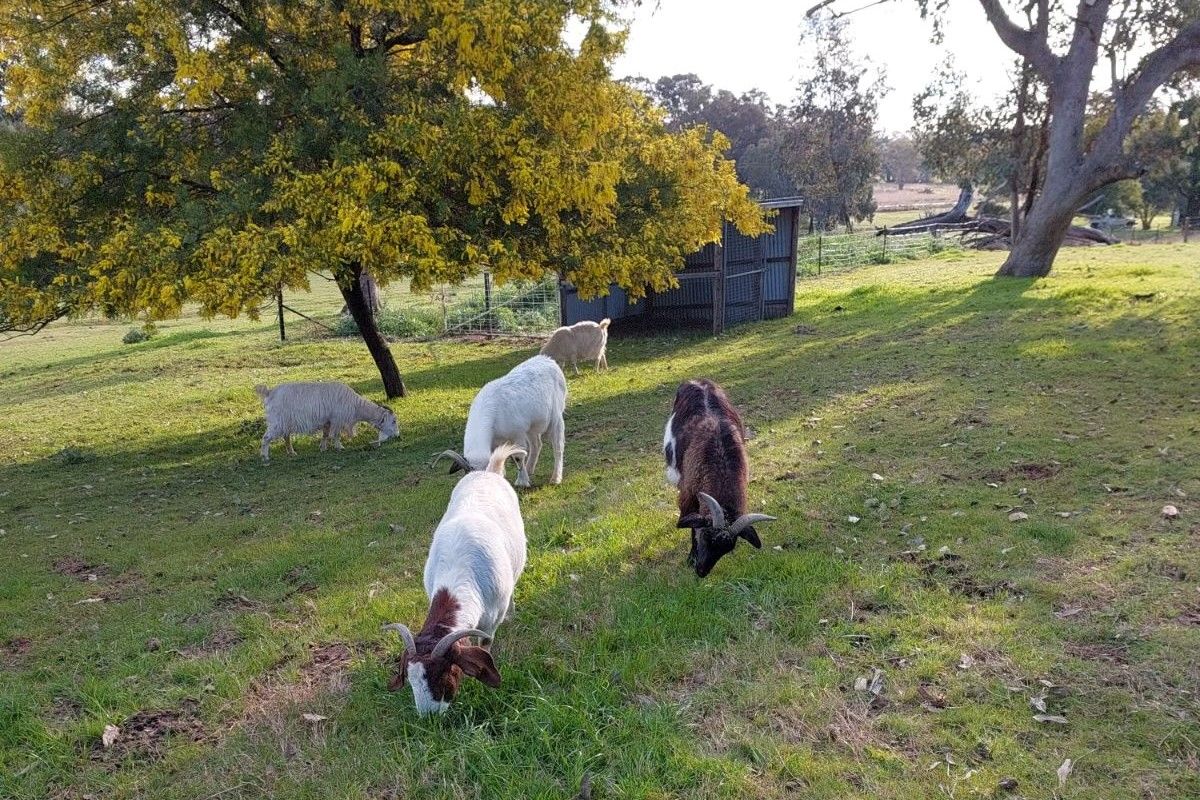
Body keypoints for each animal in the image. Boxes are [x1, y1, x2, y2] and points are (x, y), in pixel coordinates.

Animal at [254, 383, 398, 462]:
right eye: (394, 421)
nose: (397, 435)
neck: (356, 405)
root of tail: (269, 392)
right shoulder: (337, 419)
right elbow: (336, 435)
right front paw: (340, 447)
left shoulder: (327, 421)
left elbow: (325, 435)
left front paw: (323, 448)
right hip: (277, 422)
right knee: (266, 438)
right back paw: (265, 457)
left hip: (285, 423)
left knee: (286, 437)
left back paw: (292, 453)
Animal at [381, 443, 528, 714]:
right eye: (409, 679)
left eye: (444, 673)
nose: (429, 717)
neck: (459, 572)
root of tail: (488, 472)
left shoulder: (490, 622)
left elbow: (485, 644)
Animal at [448, 357, 568, 489]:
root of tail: (548, 360)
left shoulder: (517, 434)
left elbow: (518, 456)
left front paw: (522, 481)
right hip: (531, 426)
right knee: (537, 444)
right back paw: (530, 469)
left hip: (556, 417)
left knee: (558, 446)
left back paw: (555, 478)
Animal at [662, 381, 772, 575]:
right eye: (706, 535)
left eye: (728, 548)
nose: (701, 571)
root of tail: (697, 381)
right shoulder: (688, 494)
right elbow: (692, 525)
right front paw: (691, 557)